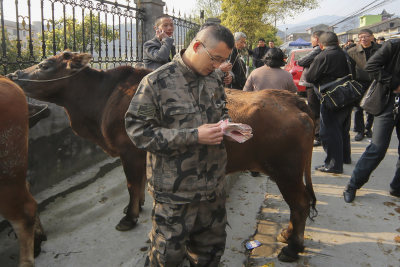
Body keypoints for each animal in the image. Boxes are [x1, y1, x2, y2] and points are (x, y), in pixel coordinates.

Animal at [8, 51, 316, 262]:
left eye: (45, 65)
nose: (13, 76)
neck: (100, 101)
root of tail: (294, 100)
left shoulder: (130, 153)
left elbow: (132, 186)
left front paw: (130, 216)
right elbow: (139, 187)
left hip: (285, 171)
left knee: (300, 204)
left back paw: (292, 247)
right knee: (299, 204)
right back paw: (287, 235)